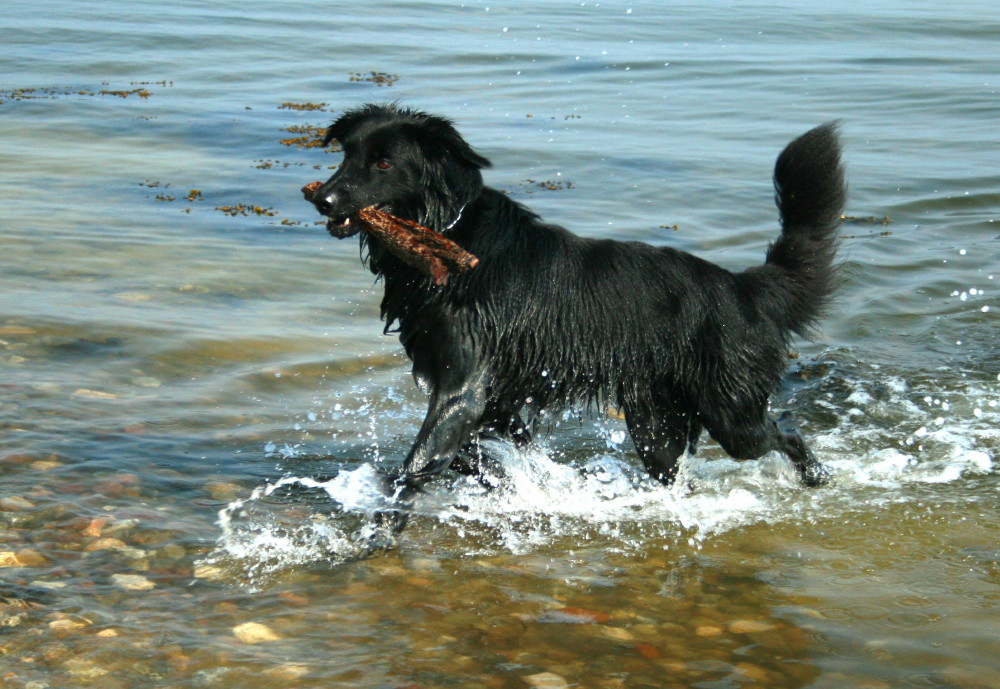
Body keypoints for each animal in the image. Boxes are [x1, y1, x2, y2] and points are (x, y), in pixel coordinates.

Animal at [310, 105, 844, 516]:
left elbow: (415, 467)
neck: (450, 232)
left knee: (785, 428)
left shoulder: (464, 387)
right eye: (346, 155)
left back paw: (819, 477)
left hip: (731, 411)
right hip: (657, 426)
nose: (323, 199)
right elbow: (475, 455)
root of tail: (745, 287)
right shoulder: (488, 401)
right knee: (681, 472)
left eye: (383, 163)